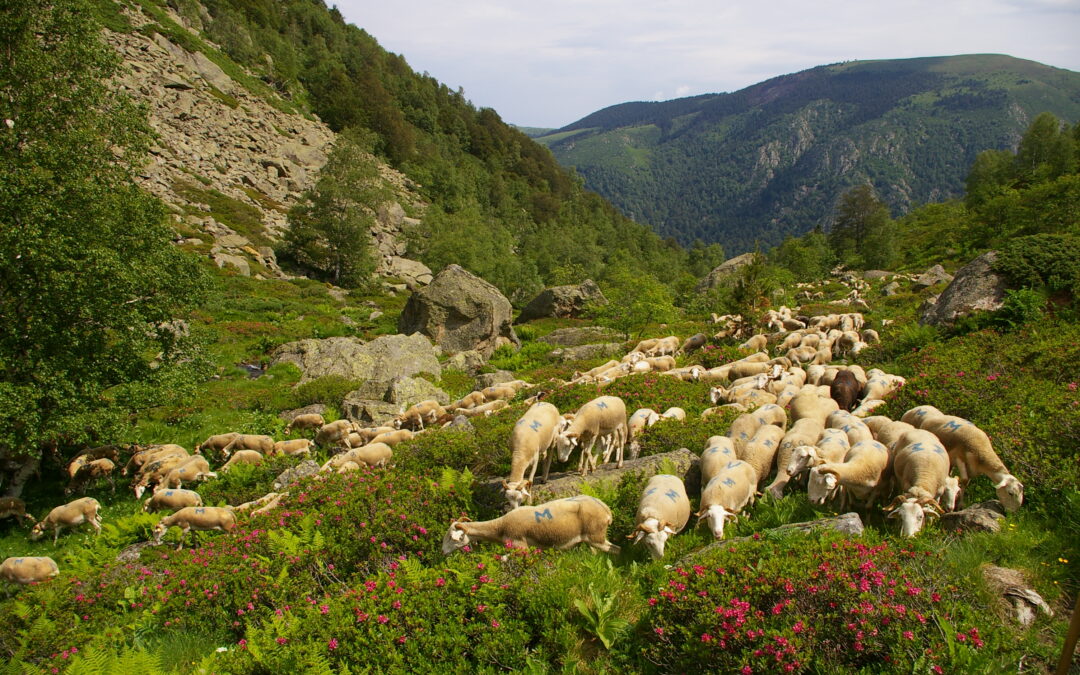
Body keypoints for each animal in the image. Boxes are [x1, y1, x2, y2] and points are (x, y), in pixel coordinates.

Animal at [440, 492, 617, 557]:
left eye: (451, 538)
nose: (443, 552)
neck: (500, 526)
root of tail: (606, 509)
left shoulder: (520, 546)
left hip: (596, 536)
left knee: (615, 550)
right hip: (591, 539)